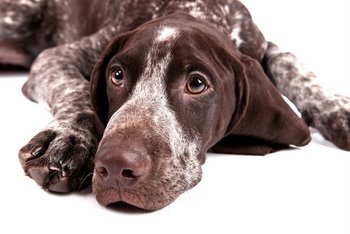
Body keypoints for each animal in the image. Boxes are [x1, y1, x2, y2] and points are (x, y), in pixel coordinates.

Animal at [1, 0, 348, 211]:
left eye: (196, 84)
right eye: (117, 75)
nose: (115, 168)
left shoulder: (261, 45)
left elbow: (290, 63)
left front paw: (338, 108)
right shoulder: (57, 57)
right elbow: (75, 90)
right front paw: (68, 138)